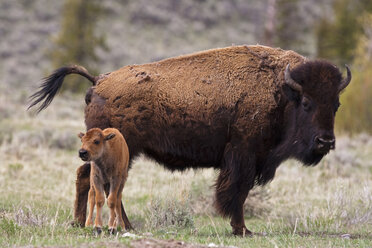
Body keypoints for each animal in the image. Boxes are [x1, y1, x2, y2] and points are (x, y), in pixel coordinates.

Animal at [29, 45, 352, 236]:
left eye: (336, 104)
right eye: (307, 102)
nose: (325, 141)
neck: (281, 90)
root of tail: (98, 81)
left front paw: (240, 228)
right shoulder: (243, 156)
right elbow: (238, 192)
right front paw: (242, 229)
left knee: (89, 178)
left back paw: (84, 222)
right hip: (117, 151)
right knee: (103, 183)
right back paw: (118, 225)